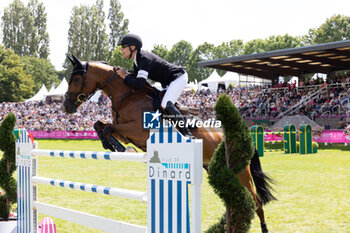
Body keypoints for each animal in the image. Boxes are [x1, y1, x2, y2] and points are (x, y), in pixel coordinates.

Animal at [63, 55, 276, 233]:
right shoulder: (125, 131)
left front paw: (119, 148)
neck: (127, 95)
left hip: (241, 173)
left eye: (76, 79)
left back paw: (264, 229)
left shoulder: (137, 131)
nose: (66, 106)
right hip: (214, 169)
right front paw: (113, 146)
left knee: (256, 203)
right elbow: (100, 125)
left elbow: (108, 128)